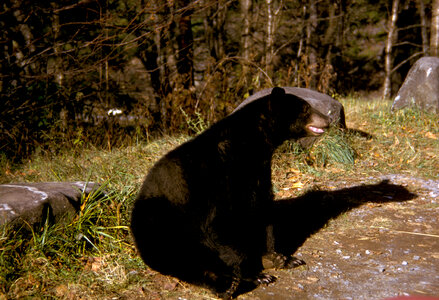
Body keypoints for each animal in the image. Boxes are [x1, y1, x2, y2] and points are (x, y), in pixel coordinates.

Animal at [131, 86, 330, 298]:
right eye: (306, 108)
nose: (327, 119)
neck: (251, 144)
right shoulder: (219, 175)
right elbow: (221, 222)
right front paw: (256, 273)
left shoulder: (257, 172)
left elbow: (262, 210)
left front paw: (279, 257)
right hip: (161, 224)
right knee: (183, 259)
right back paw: (227, 285)